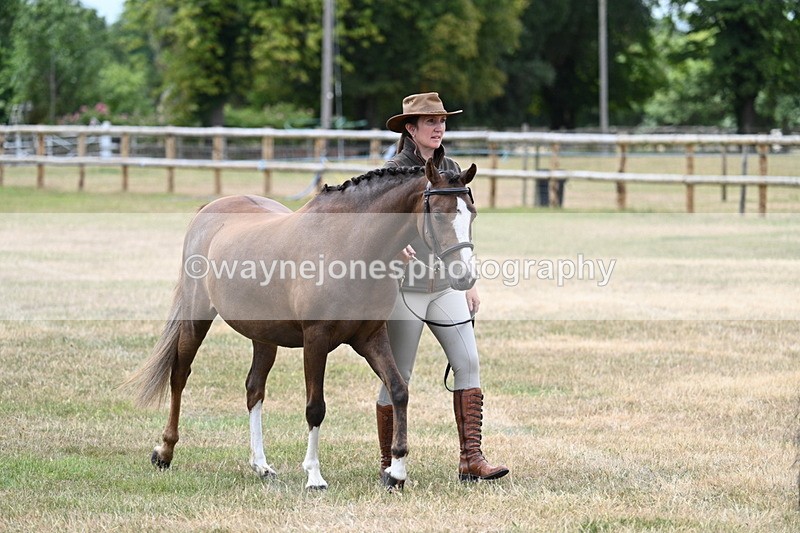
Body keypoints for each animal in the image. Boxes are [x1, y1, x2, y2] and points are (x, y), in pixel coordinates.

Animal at [125, 158, 478, 490]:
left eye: (471, 214)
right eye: (440, 215)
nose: (465, 277)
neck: (349, 247)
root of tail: (208, 210)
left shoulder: (371, 338)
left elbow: (398, 390)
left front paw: (397, 473)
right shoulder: (315, 340)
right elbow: (315, 407)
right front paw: (314, 476)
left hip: (263, 336)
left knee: (254, 389)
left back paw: (261, 465)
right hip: (196, 318)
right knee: (179, 375)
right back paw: (164, 451)